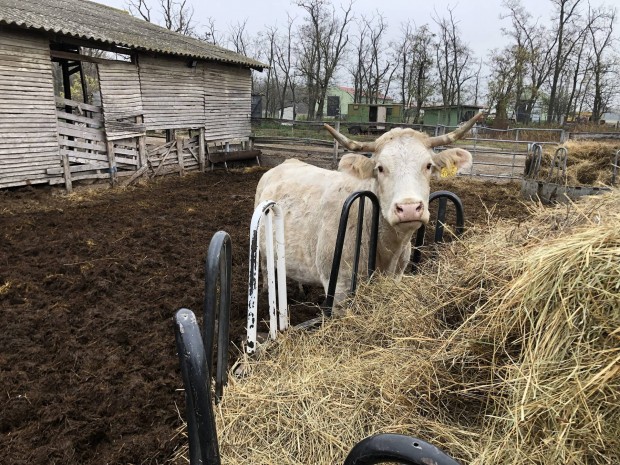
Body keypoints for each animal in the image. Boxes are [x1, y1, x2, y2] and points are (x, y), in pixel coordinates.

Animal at [254, 111, 482, 302]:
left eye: (428, 166)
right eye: (380, 168)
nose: (409, 208)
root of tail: (287, 162)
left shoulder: (396, 276)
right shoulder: (339, 286)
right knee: (264, 265)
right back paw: (265, 291)